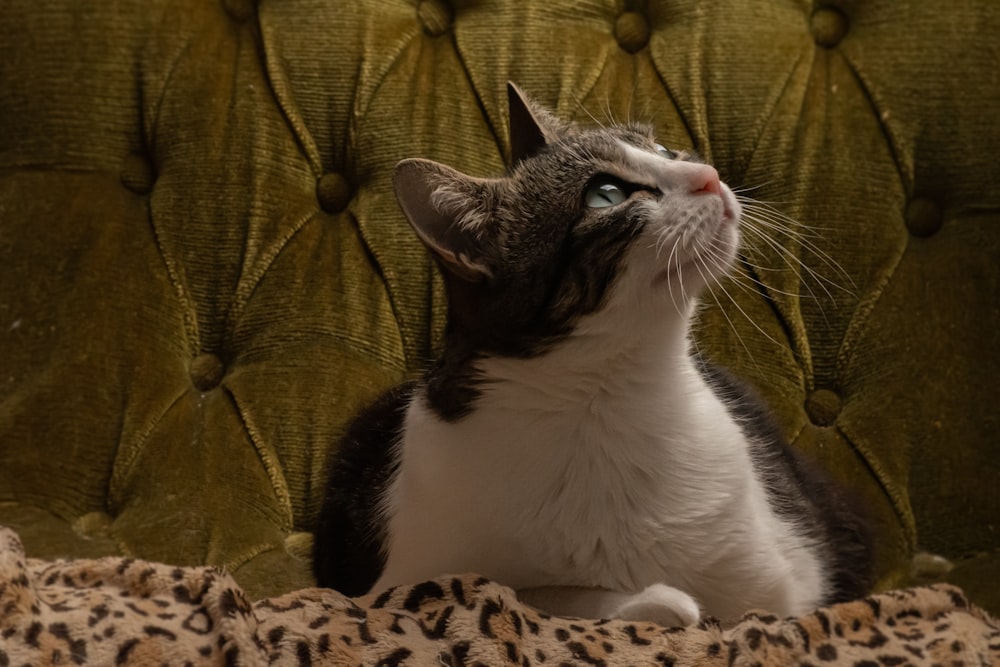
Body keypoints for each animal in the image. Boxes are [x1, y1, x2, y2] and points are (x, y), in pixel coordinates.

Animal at [310, 83, 868, 628]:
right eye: (606, 195)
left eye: (663, 149)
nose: (708, 175)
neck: (604, 396)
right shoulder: (398, 576)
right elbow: (515, 589)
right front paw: (649, 601)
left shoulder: (790, 578)